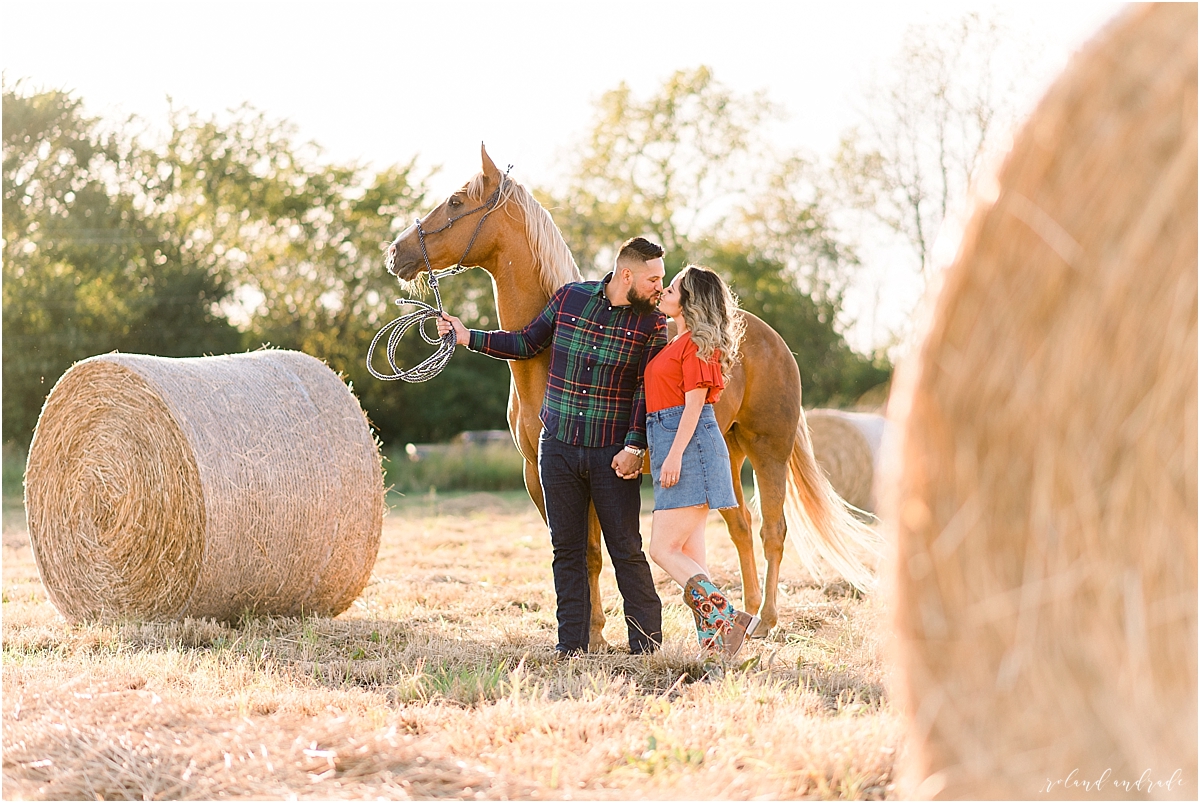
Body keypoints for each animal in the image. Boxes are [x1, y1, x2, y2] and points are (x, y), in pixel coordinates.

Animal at [384, 144, 883, 643]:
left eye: (454, 202)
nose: (395, 252)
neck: (543, 356)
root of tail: (769, 339)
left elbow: (593, 550)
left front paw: (595, 635)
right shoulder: (538, 473)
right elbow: (576, 549)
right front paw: (588, 631)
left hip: (769, 450)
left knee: (772, 531)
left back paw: (766, 621)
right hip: (730, 453)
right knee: (740, 526)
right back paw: (745, 614)